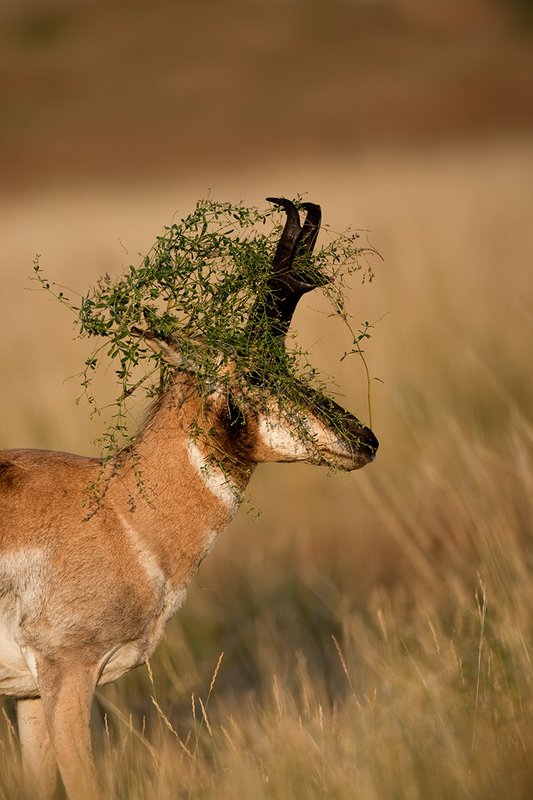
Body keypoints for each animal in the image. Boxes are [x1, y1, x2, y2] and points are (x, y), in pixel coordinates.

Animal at [0, 198, 378, 799]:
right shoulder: (68, 674)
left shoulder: (30, 694)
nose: (365, 439)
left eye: (285, 362)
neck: (118, 512)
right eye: (254, 370)